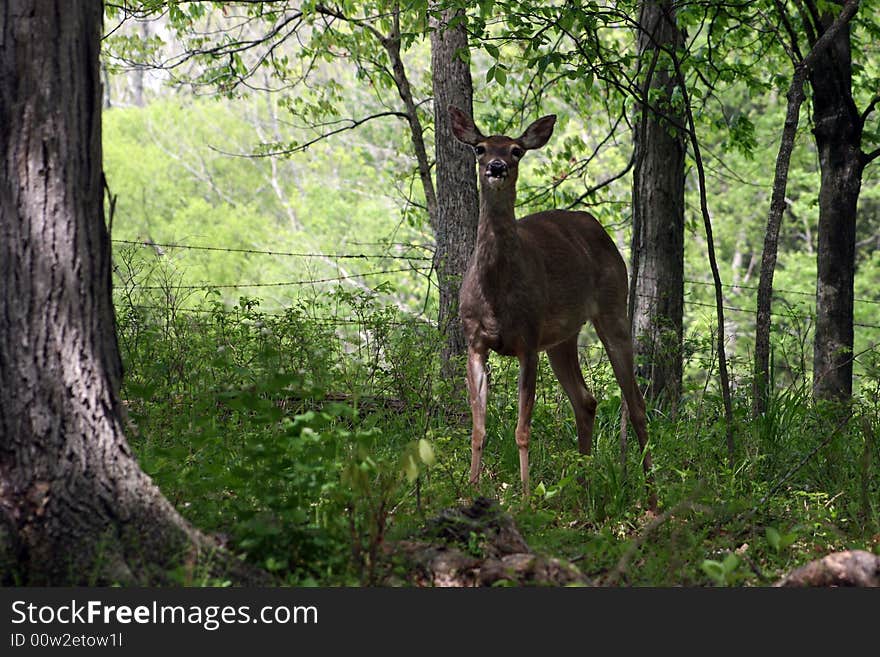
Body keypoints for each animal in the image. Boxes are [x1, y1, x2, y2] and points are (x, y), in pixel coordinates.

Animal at [450, 106, 656, 508]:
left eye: (516, 150)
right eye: (480, 147)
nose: (496, 166)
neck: (496, 294)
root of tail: (597, 228)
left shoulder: (528, 341)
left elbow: (522, 428)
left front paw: (527, 497)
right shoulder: (475, 342)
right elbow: (478, 428)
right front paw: (472, 490)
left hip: (612, 307)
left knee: (636, 404)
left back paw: (653, 498)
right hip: (563, 337)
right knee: (586, 400)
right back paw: (583, 486)